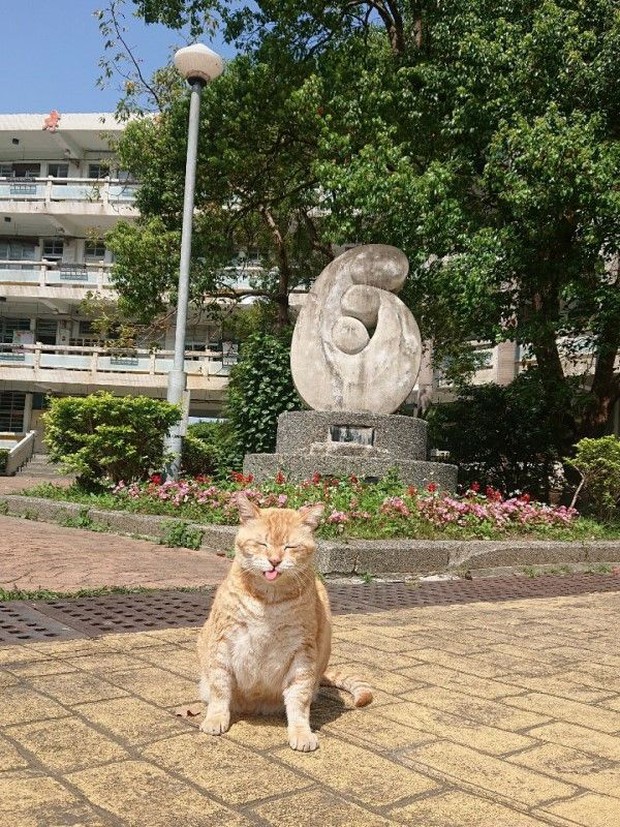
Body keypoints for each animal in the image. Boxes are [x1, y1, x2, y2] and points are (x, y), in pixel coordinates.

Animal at [197, 494, 372, 752]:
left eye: (290, 547)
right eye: (262, 544)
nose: (274, 561)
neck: (269, 601)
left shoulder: (302, 652)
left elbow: (299, 699)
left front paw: (301, 732)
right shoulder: (223, 640)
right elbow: (220, 687)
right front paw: (216, 718)